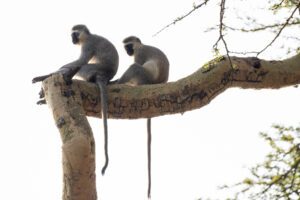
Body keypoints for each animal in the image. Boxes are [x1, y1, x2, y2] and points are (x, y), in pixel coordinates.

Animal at [31, 24, 118, 175]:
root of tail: (106, 76)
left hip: (92, 70)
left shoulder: (88, 45)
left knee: (81, 66)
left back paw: (52, 76)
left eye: (75, 34)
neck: (87, 37)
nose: (72, 39)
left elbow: (80, 62)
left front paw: (47, 74)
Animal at [118, 36, 169, 198]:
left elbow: (136, 63)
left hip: (143, 77)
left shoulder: (139, 54)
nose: (127, 52)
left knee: (134, 67)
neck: (140, 46)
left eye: (128, 46)